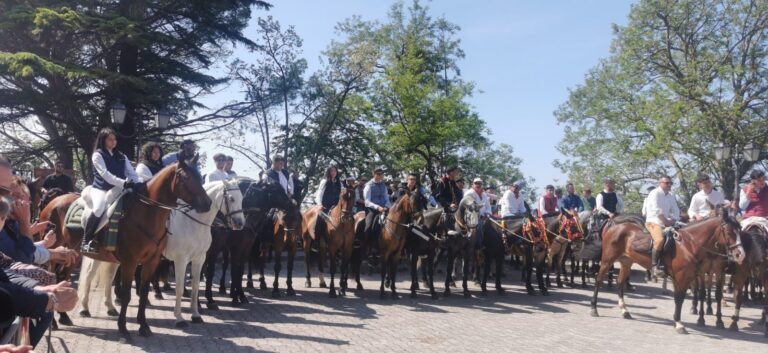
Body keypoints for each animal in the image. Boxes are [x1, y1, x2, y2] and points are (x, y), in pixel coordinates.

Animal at [76, 180, 244, 326]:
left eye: (242, 198)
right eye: (231, 198)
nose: (240, 223)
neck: (192, 223)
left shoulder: (199, 259)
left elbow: (196, 287)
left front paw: (196, 315)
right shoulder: (181, 260)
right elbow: (179, 288)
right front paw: (179, 317)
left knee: (109, 277)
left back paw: (110, 307)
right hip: (99, 256)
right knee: (89, 276)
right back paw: (85, 308)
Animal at [588, 210, 744, 334]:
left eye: (740, 230)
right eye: (729, 231)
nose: (740, 255)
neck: (689, 245)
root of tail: (615, 226)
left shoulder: (688, 277)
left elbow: (684, 297)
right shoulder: (681, 277)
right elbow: (679, 299)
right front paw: (679, 324)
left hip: (626, 262)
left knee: (620, 283)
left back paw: (625, 311)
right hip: (607, 260)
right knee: (599, 280)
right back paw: (594, 308)